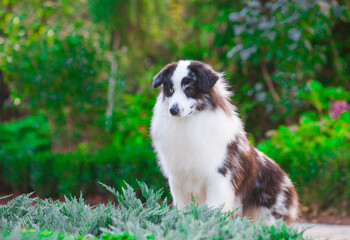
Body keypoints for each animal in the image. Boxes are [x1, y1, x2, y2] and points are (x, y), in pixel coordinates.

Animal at [150, 60, 298, 225]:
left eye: (189, 89)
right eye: (170, 90)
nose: (173, 110)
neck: (188, 123)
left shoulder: (219, 177)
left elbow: (214, 208)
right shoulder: (178, 179)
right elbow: (183, 208)